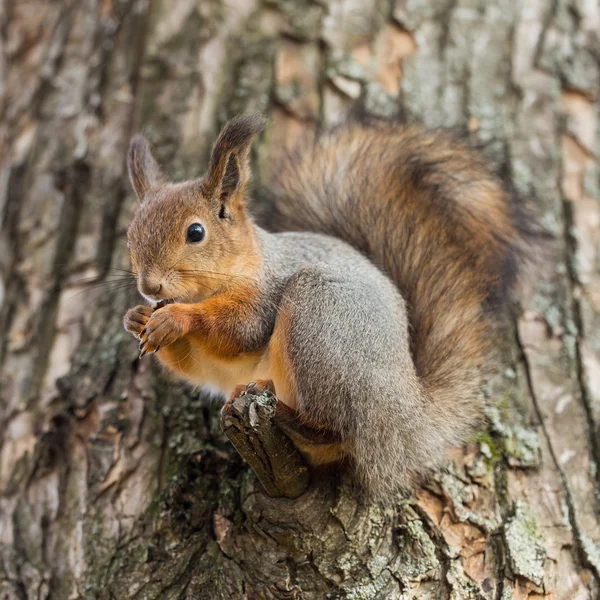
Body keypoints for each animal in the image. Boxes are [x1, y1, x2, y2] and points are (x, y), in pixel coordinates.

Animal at [123, 113, 528, 496]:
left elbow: (239, 331)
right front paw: (137, 318)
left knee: (338, 429)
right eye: (129, 236)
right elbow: (192, 365)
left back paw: (288, 416)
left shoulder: (264, 294)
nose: (149, 287)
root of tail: (407, 417)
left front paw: (175, 317)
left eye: (196, 232)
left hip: (319, 320)